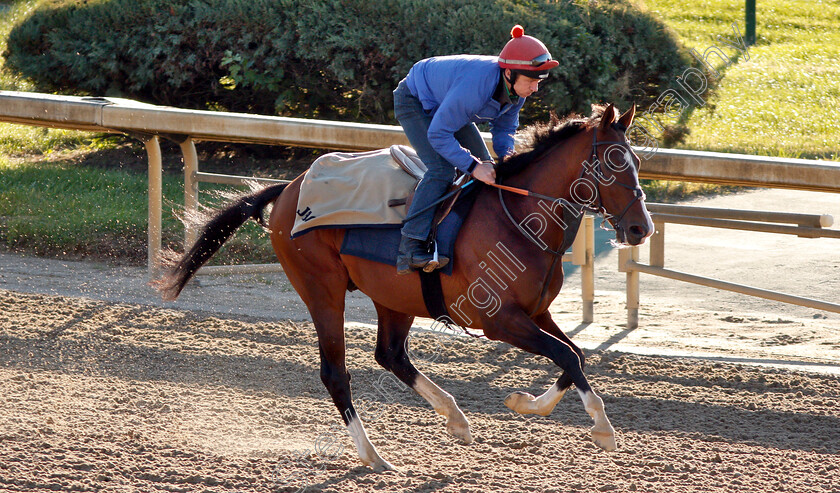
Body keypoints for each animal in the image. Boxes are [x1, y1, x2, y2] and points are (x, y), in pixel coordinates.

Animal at [158, 103, 656, 468]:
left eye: (635, 161)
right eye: (612, 163)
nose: (640, 228)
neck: (519, 219)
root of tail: (287, 190)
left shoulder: (536, 311)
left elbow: (576, 355)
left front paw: (525, 403)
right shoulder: (500, 321)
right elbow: (566, 355)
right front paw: (602, 428)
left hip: (393, 297)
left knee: (391, 355)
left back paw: (455, 419)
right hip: (322, 290)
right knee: (336, 373)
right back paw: (374, 456)